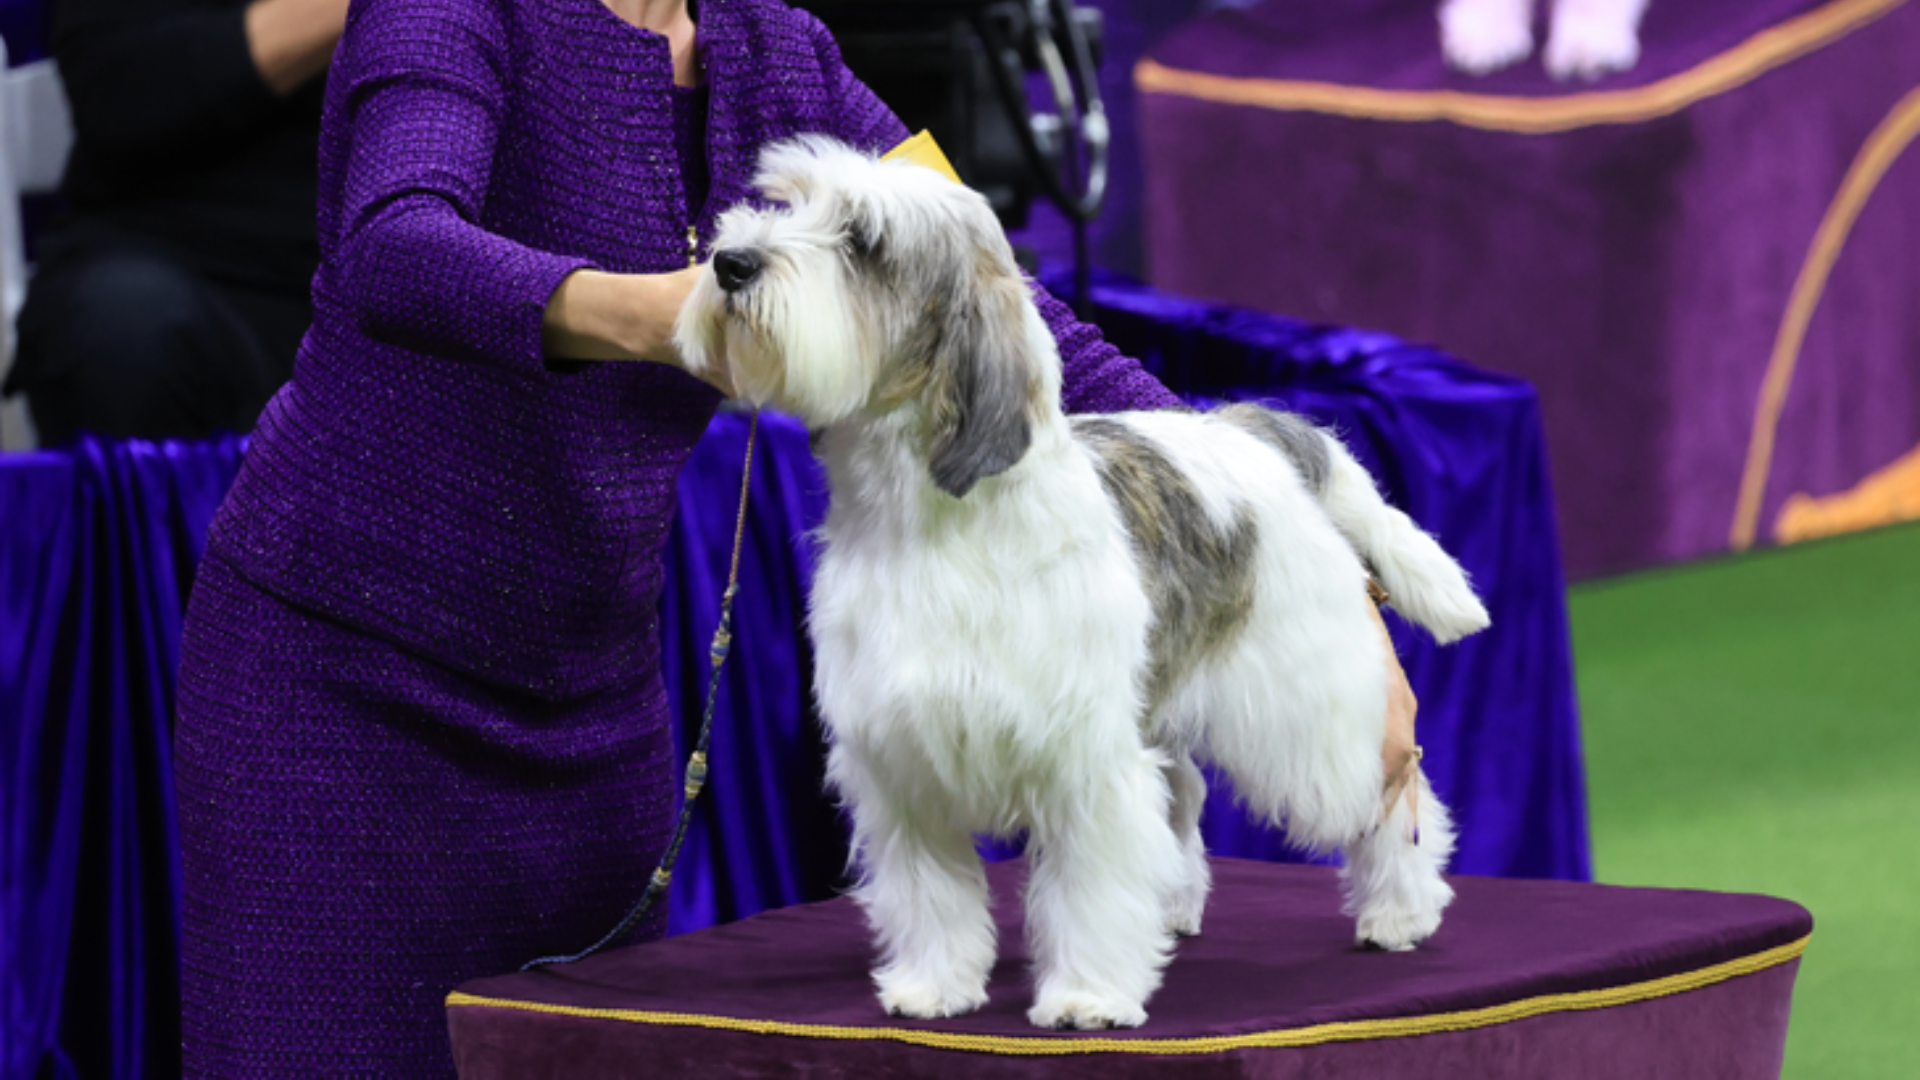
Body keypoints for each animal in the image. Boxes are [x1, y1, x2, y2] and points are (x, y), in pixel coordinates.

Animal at [683, 138, 1489, 1030]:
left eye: (863, 242)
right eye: (788, 205)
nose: (729, 262)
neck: (930, 524)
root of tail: (1260, 430)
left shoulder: (1083, 762)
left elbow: (1090, 886)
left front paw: (1088, 996)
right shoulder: (904, 766)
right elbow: (931, 896)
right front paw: (936, 986)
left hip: (1310, 719)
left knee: (1394, 795)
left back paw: (1401, 910)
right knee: (1184, 791)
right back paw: (1173, 903)